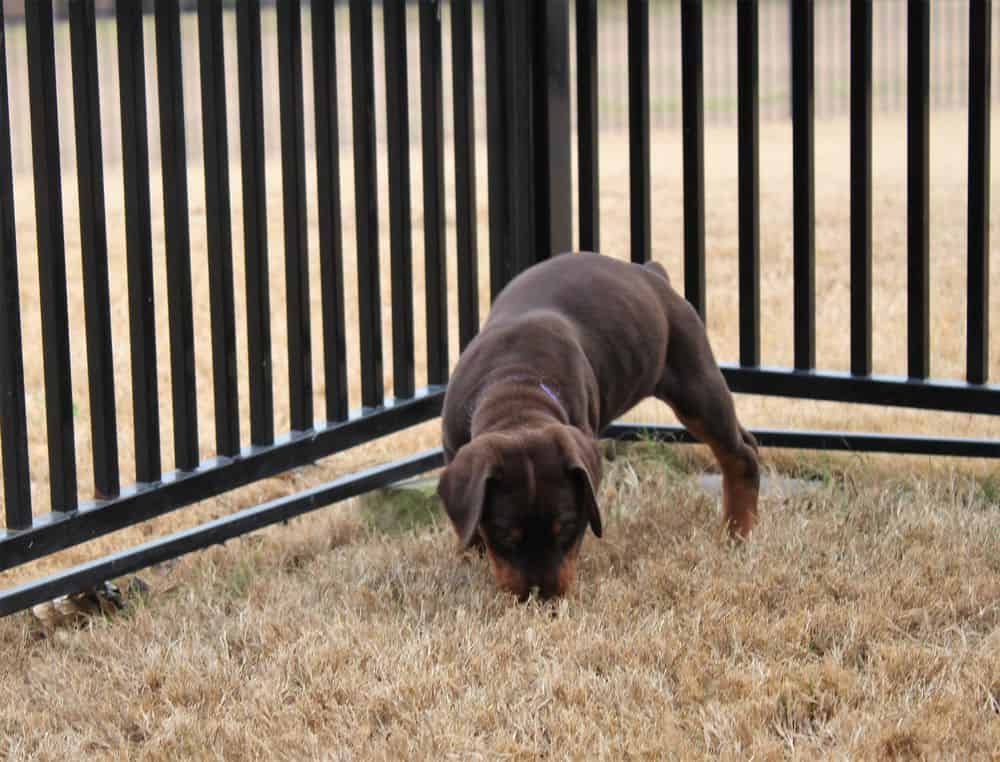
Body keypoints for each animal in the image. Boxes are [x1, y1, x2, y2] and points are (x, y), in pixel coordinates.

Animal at [438, 252, 756, 596]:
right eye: (507, 534)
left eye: (567, 528)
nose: (542, 598)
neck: (516, 388)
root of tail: (651, 274)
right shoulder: (454, 450)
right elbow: (469, 520)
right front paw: (472, 555)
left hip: (695, 381)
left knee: (740, 453)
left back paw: (738, 532)